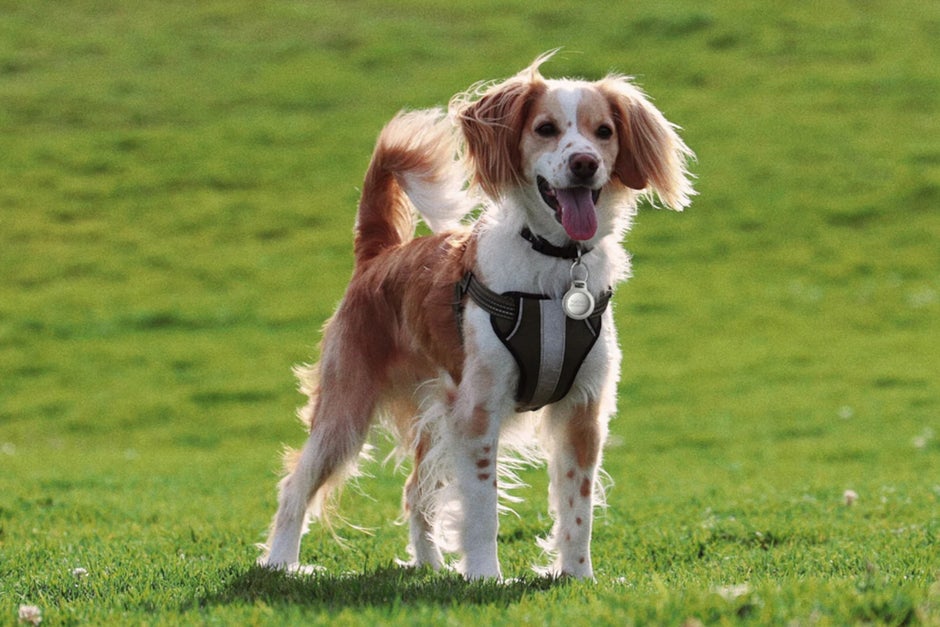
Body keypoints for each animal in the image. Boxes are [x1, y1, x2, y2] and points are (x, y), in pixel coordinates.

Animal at [260, 55, 692, 584]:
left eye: (604, 132)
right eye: (545, 129)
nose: (584, 163)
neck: (554, 266)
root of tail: (378, 255)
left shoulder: (581, 412)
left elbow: (578, 509)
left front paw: (578, 576)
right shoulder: (479, 411)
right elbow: (483, 509)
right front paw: (486, 576)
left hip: (436, 417)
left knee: (414, 493)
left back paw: (429, 566)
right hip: (345, 412)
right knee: (295, 485)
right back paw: (281, 563)